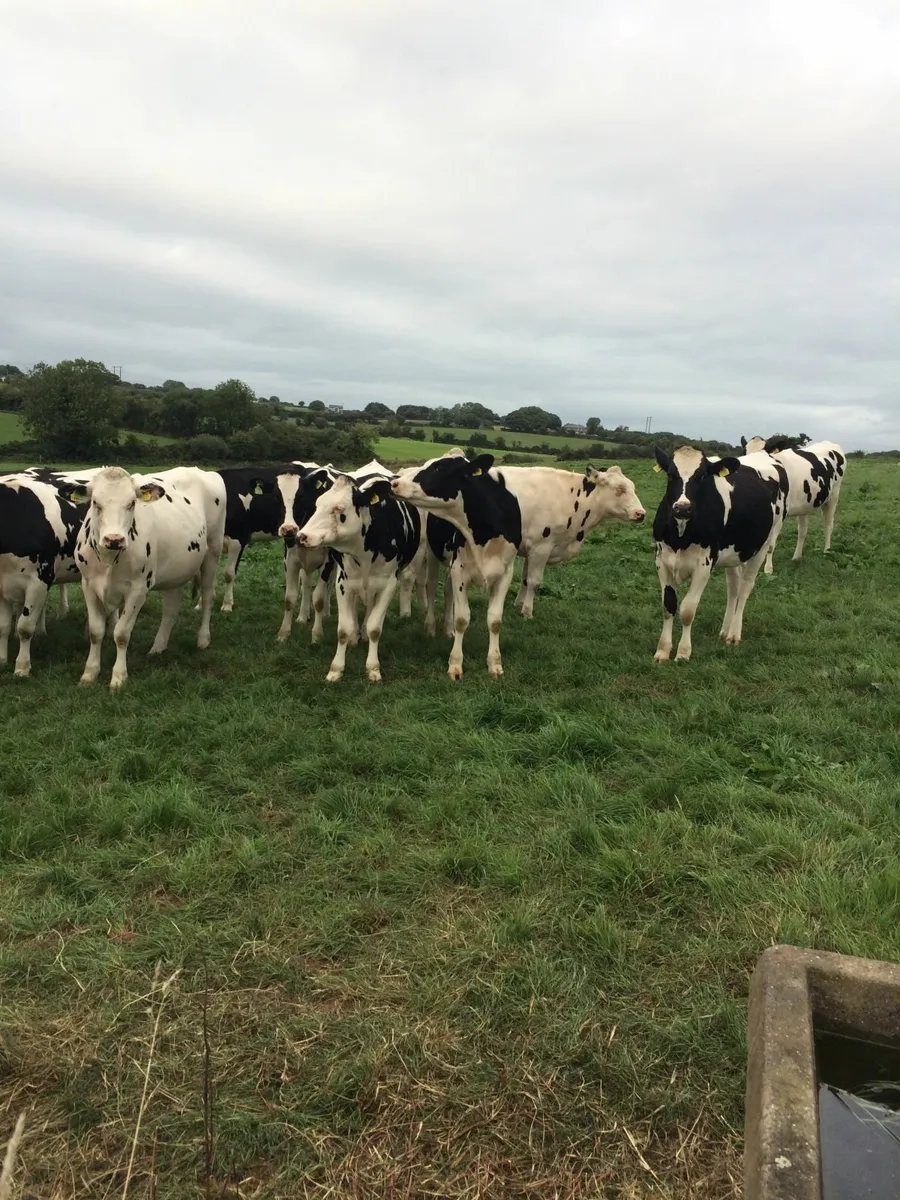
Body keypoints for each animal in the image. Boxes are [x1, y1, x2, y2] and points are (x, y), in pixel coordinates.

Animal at [59, 466, 227, 689]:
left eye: (131, 503)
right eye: (95, 502)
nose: (114, 539)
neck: (109, 558)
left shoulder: (138, 588)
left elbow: (121, 634)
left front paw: (119, 676)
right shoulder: (88, 584)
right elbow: (96, 632)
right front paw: (90, 673)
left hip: (213, 551)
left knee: (208, 596)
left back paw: (203, 639)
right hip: (177, 569)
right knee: (171, 609)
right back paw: (158, 646)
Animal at [295, 468, 428, 682]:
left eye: (339, 508)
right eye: (318, 504)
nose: (302, 536)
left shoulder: (388, 583)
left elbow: (375, 627)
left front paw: (373, 668)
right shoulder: (343, 582)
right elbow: (343, 629)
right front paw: (336, 668)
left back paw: (363, 632)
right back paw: (355, 635)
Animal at [651, 445, 787, 663]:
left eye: (702, 476)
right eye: (671, 474)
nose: (682, 508)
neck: (681, 535)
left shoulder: (704, 564)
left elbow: (687, 610)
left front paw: (683, 652)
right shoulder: (662, 560)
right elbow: (668, 606)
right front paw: (663, 651)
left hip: (763, 545)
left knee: (745, 588)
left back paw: (733, 634)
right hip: (733, 554)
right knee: (733, 588)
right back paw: (725, 629)